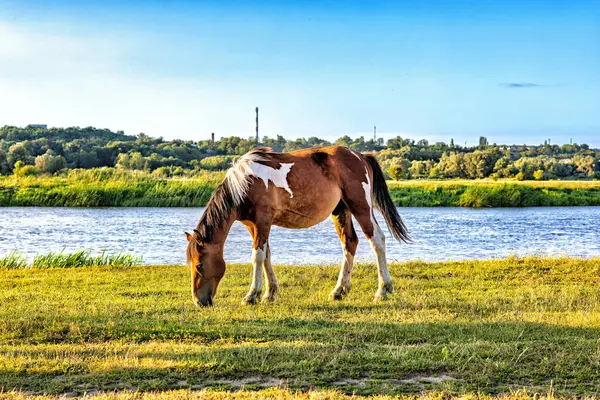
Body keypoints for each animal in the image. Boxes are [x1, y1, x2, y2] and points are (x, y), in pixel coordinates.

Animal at [185, 146, 410, 306]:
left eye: (199, 265)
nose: (198, 301)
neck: (245, 183)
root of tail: (361, 156)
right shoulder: (252, 224)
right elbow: (266, 255)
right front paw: (270, 293)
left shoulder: (263, 220)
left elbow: (257, 256)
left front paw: (252, 295)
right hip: (341, 211)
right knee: (350, 243)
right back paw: (339, 291)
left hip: (360, 206)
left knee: (377, 240)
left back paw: (383, 290)